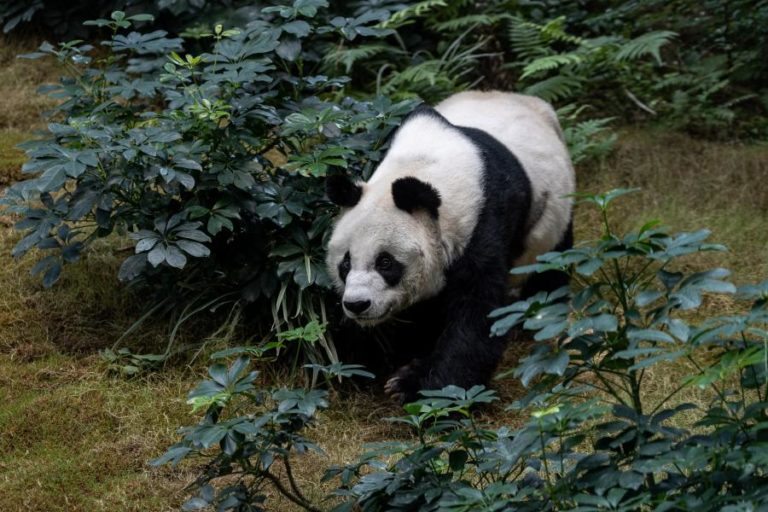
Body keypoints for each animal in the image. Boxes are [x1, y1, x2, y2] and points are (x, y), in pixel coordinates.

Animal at [325, 91, 575, 403]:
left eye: (385, 262)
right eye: (345, 263)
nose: (357, 304)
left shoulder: (484, 221)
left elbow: (477, 310)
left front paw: (424, 387)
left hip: (555, 210)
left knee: (552, 263)